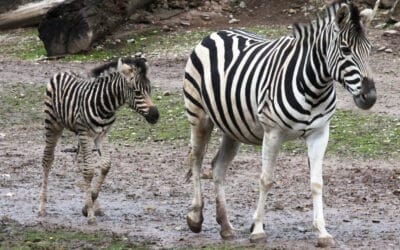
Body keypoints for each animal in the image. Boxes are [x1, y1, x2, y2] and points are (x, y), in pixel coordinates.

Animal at [39, 57, 159, 226]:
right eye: (137, 92)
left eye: (149, 90)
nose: (156, 115)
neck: (105, 105)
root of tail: (63, 71)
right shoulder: (86, 134)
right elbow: (89, 171)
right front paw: (90, 214)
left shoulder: (102, 134)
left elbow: (105, 166)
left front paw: (89, 205)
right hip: (53, 123)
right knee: (48, 159)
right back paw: (42, 207)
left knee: (81, 163)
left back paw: (96, 205)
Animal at [183, 0, 376, 246]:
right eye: (345, 50)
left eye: (369, 50)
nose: (370, 97)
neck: (314, 87)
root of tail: (216, 33)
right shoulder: (272, 132)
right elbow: (266, 180)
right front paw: (257, 230)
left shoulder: (320, 133)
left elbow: (317, 182)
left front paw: (322, 232)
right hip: (199, 115)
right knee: (196, 159)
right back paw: (195, 216)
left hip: (232, 127)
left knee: (217, 166)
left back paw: (226, 226)